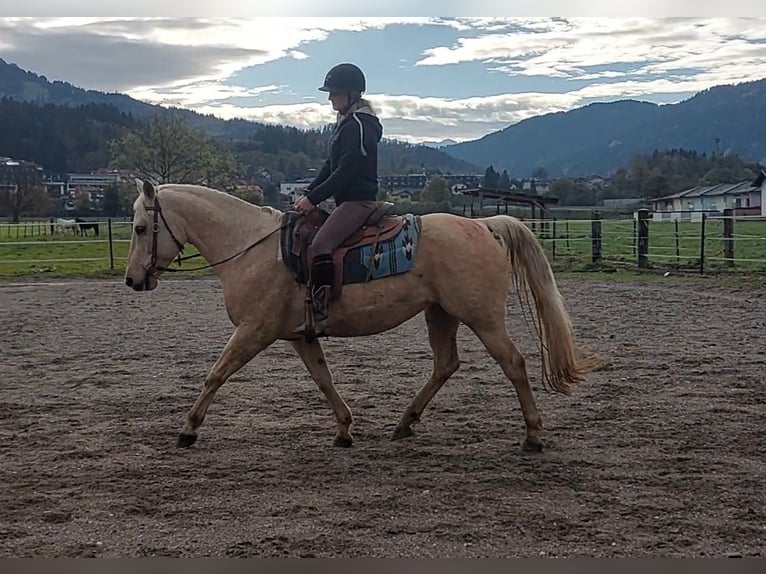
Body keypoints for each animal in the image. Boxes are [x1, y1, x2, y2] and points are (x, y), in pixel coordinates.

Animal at [124, 180, 601, 452]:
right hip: (440, 314)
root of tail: (482, 224)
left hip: (482, 318)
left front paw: (188, 429)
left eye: (141, 228)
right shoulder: (299, 335)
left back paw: (533, 436)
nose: (132, 280)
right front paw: (344, 430)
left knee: (514, 364)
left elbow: (216, 375)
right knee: (445, 364)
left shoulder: (253, 331)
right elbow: (323, 379)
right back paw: (405, 423)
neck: (251, 246)